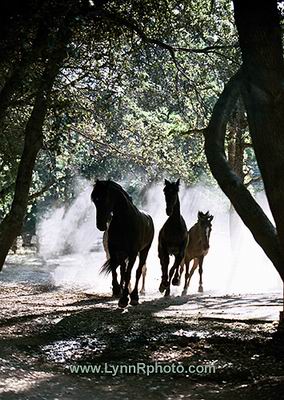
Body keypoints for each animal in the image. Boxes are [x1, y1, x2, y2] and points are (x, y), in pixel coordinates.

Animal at [91, 180, 154, 308]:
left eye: (105, 198)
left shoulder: (132, 253)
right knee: (124, 271)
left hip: (144, 251)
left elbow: (129, 273)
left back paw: (135, 295)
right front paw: (116, 289)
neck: (124, 222)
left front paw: (124, 298)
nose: (100, 225)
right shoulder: (114, 251)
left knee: (139, 270)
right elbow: (116, 271)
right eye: (94, 200)